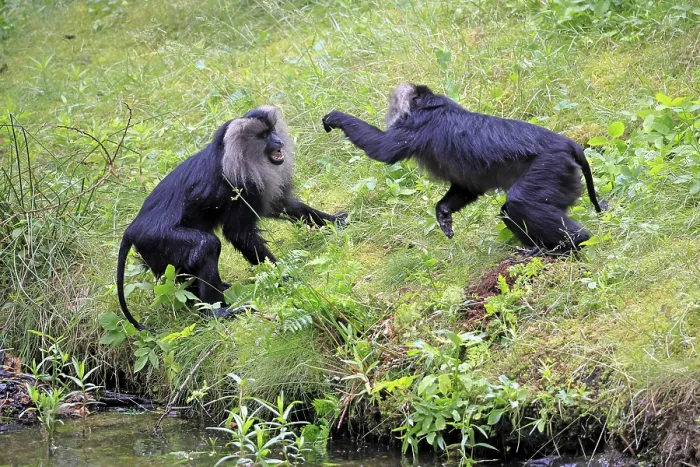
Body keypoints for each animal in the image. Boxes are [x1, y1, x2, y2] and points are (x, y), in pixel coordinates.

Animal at [117, 105, 347, 332]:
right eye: (264, 136)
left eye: (273, 131)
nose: (278, 141)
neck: (236, 153)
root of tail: (131, 231)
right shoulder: (240, 186)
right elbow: (239, 234)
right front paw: (284, 276)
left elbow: (285, 206)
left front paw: (335, 220)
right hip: (159, 239)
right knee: (206, 245)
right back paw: (216, 312)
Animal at [322, 83, 604, 255]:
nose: (391, 110)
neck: (432, 104)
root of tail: (566, 144)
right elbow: (467, 187)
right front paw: (443, 212)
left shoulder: (416, 124)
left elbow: (383, 150)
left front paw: (335, 117)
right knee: (509, 210)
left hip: (550, 166)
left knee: (519, 202)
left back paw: (575, 241)